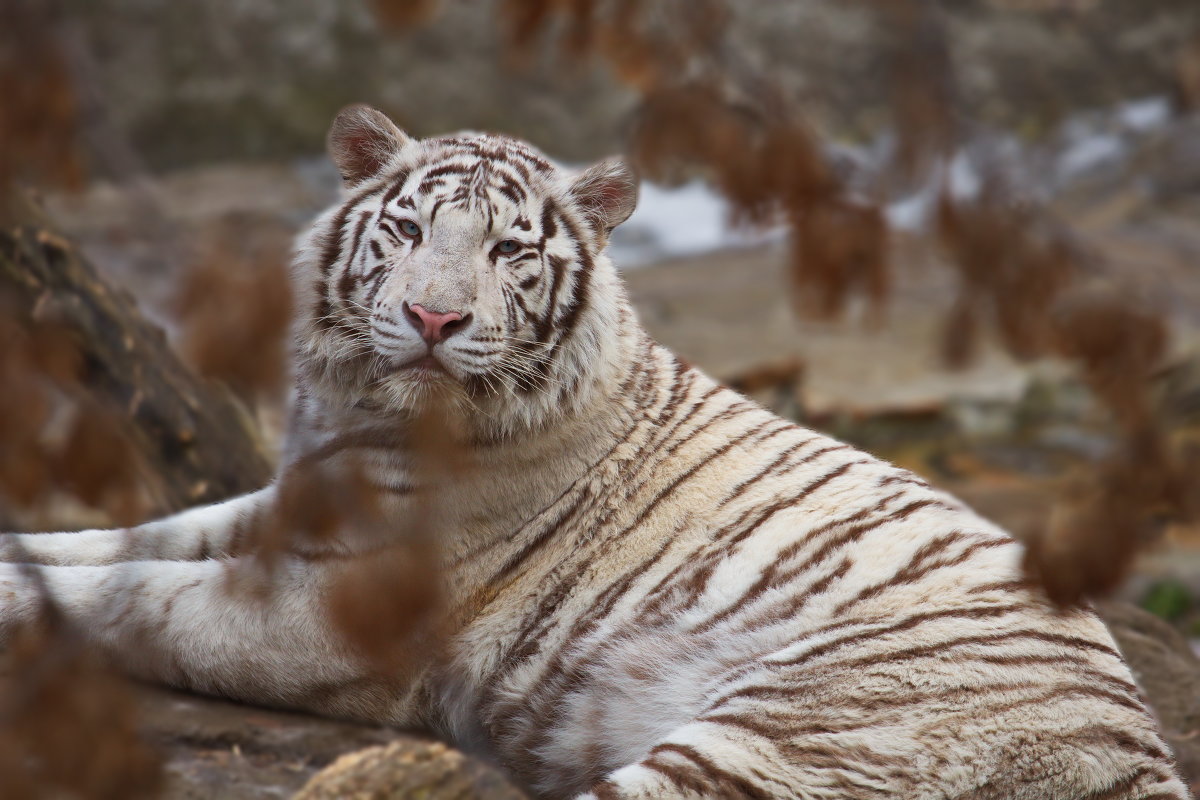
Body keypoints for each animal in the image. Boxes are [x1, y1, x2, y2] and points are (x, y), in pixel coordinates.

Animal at [0, 107, 1180, 800]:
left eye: (507, 250)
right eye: (407, 230)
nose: (432, 319)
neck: (358, 409)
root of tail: (1137, 750)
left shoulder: (332, 608)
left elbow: (138, 597)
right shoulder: (286, 504)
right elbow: (121, 539)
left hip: (783, 736)